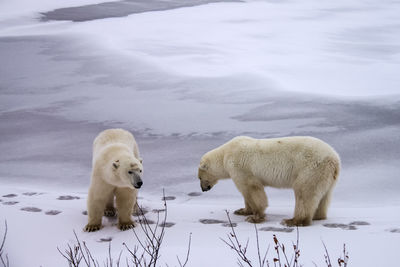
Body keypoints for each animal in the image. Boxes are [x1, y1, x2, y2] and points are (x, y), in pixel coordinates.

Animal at [198, 136, 340, 226]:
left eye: (200, 178)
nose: (203, 189)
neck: (225, 154)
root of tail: (335, 159)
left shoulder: (239, 166)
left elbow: (251, 188)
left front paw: (254, 217)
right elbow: (246, 194)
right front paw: (242, 211)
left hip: (311, 168)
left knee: (304, 192)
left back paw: (292, 221)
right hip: (325, 176)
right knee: (323, 196)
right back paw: (318, 216)